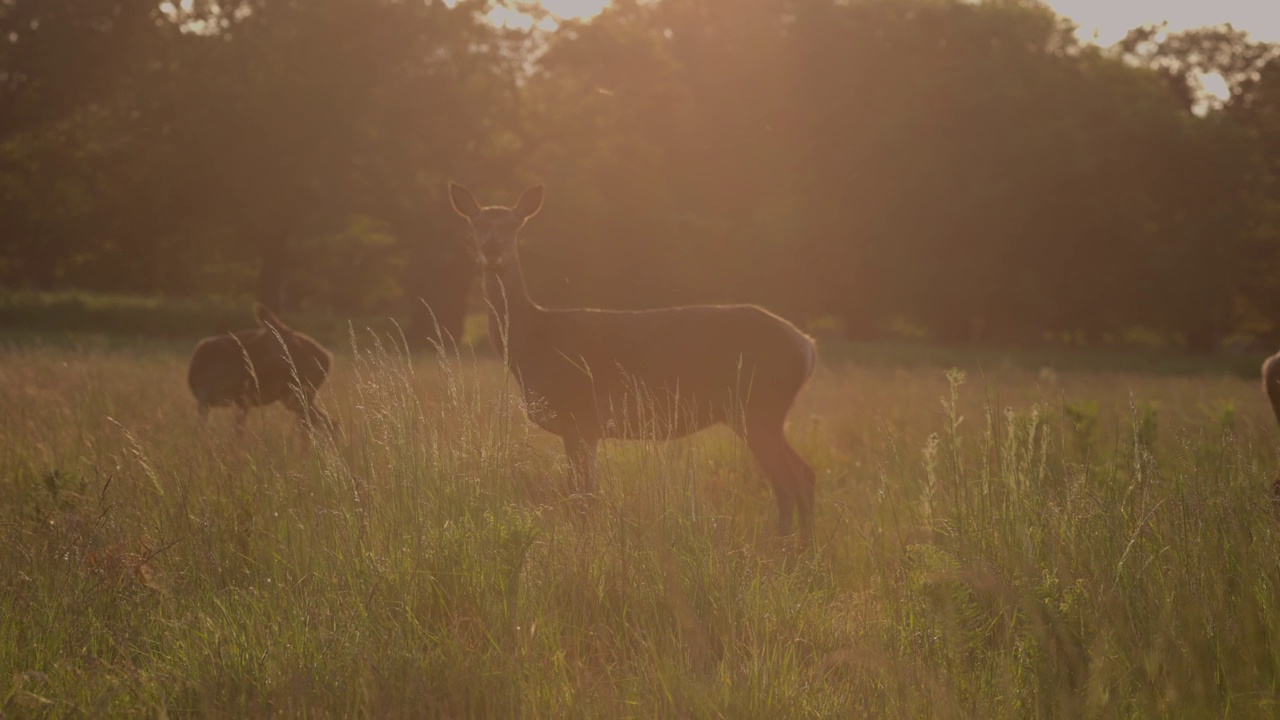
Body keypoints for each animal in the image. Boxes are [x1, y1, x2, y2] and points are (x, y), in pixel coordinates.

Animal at [186, 301, 335, 430]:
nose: (314, 363)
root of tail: (328, 357)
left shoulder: (238, 398)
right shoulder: (222, 399)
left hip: (297, 394)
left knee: (318, 424)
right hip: (297, 395)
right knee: (321, 424)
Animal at [445, 181, 814, 540]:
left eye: (514, 225)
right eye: (476, 223)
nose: (493, 250)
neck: (535, 344)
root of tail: (807, 346)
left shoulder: (581, 417)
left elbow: (582, 495)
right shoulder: (580, 427)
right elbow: (580, 493)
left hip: (758, 407)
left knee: (791, 480)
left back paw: (788, 550)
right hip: (761, 412)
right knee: (803, 475)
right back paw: (799, 549)